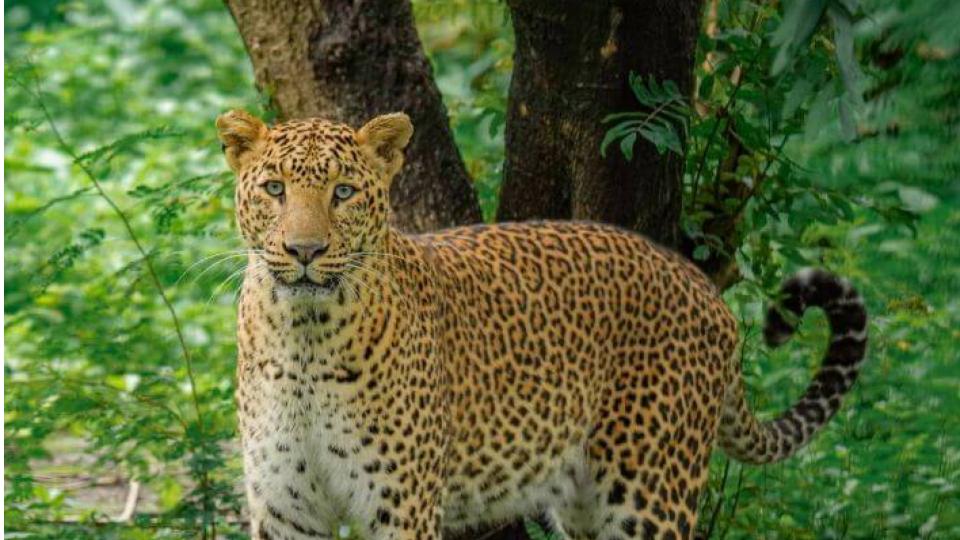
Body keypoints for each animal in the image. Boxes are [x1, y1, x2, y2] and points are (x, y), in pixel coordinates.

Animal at [216, 109, 868, 540]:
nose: (304, 251)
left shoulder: (400, 506)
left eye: (345, 191)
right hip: (583, 504)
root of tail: (703, 287)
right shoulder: (284, 506)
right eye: (274, 188)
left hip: (649, 491)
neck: (305, 335)